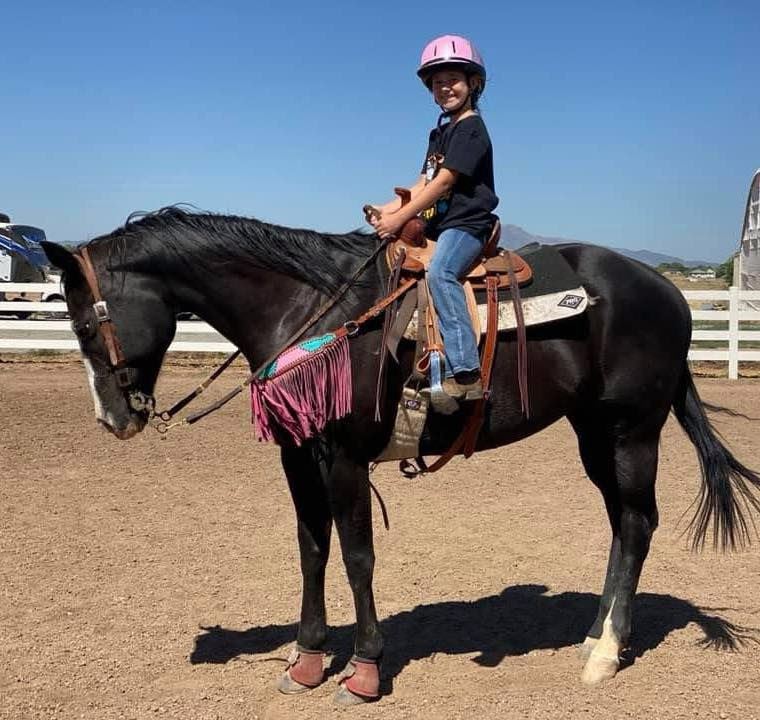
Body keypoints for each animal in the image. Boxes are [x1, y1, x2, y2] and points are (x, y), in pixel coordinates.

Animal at [41, 207, 760, 705]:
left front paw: (363, 670)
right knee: (620, 524)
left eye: (85, 323)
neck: (311, 312)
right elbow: (311, 550)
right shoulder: (299, 458)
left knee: (637, 524)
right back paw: (595, 633)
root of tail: (667, 293)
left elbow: (357, 556)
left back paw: (606, 653)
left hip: (631, 429)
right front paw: (305, 660)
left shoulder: (347, 457)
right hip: (593, 433)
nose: (114, 420)